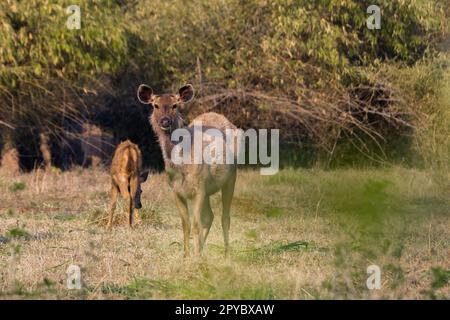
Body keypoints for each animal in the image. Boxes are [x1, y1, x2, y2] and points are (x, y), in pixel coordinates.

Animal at [137, 84, 237, 256]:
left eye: (175, 105)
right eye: (155, 105)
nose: (165, 121)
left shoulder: (200, 188)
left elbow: (196, 224)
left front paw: (194, 257)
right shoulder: (176, 191)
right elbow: (186, 225)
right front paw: (186, 255)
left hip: (231, 178)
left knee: (225, 217)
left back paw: (226, 254)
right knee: (210, 216)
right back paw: (203, 251)